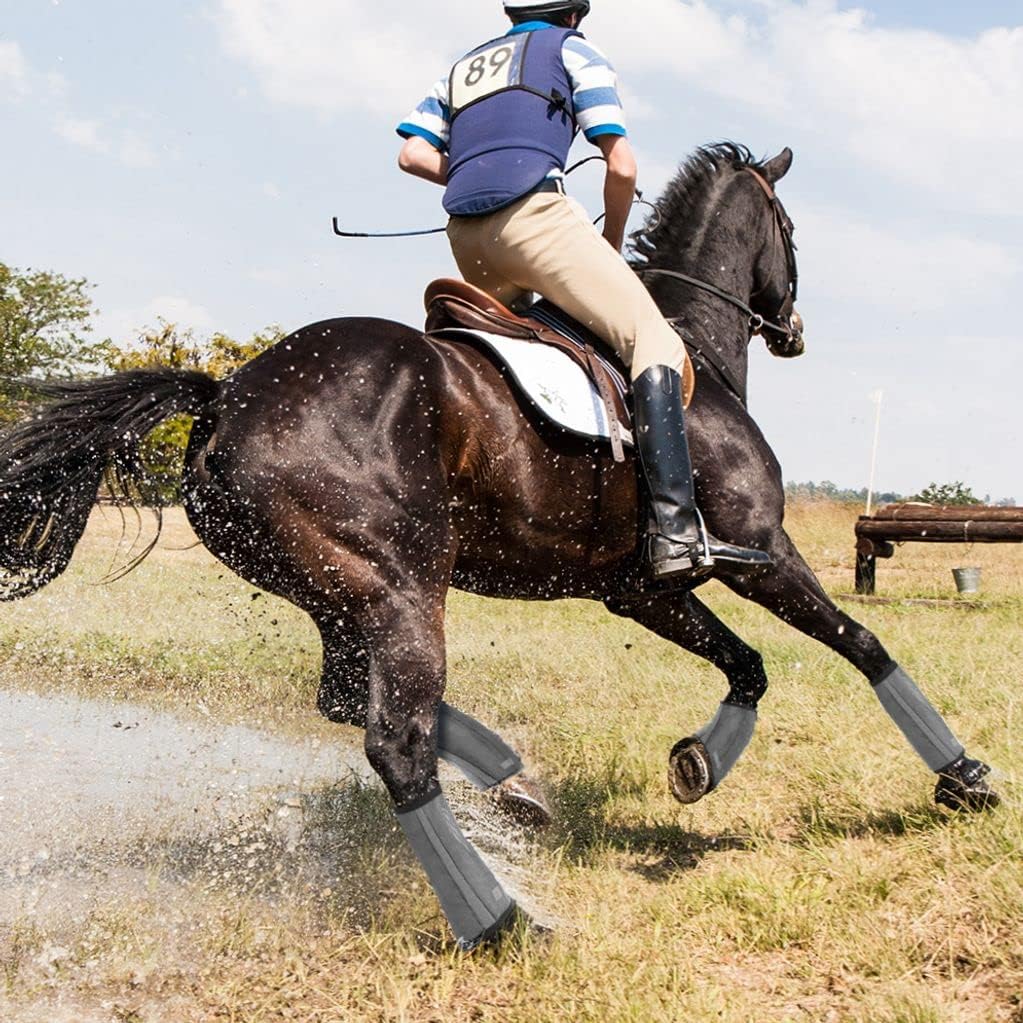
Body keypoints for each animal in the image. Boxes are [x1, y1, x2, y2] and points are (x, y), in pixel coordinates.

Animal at [0, 143, 997, 950]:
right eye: (790, 231)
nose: (793, 332)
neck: (690, 354)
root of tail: (225, 397)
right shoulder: (759, 550)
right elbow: (862, 644)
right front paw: (963, 778)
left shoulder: (641, 587)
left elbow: (745, 665)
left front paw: (698, 763)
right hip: (402, 589)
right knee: (393, 742)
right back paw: (500, 918)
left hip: (338, 591)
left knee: (344, 696)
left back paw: (512, 784)